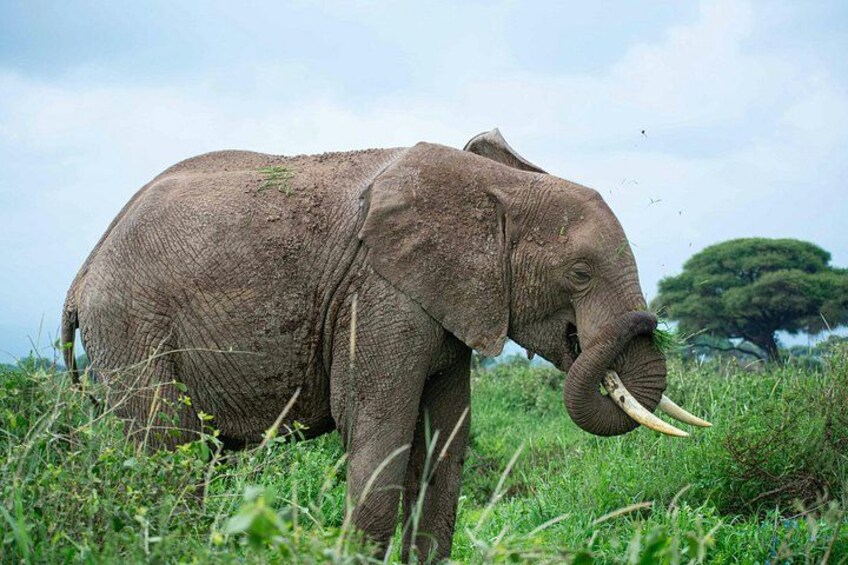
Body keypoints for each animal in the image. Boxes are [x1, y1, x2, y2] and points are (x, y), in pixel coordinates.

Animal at [61, 129, 709, 561]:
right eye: (579, 275)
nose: (647, 318)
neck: (494, 188)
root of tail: (84, 270)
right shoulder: (378, 293)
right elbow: (379, 431)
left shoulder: (445, 301)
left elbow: (446, 447)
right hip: (131, 325)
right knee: (165, 453)